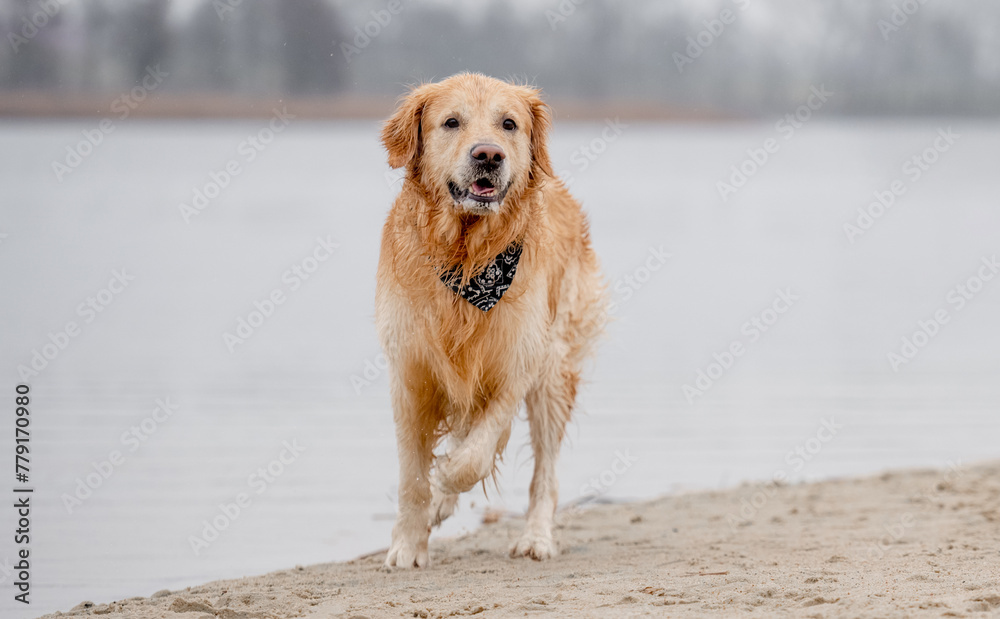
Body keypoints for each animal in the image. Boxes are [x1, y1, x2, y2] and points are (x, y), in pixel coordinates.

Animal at [376, 71, 604, 568]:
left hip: (554, 371)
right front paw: (408, 544)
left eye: (509, 124)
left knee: (544, 475)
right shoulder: (409, 372)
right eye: (451, 122)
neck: (467, 260)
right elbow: (411, 476)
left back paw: (536, 537)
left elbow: (474, 455)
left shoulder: (518, 362)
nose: (489, 155)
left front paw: (446, 479)